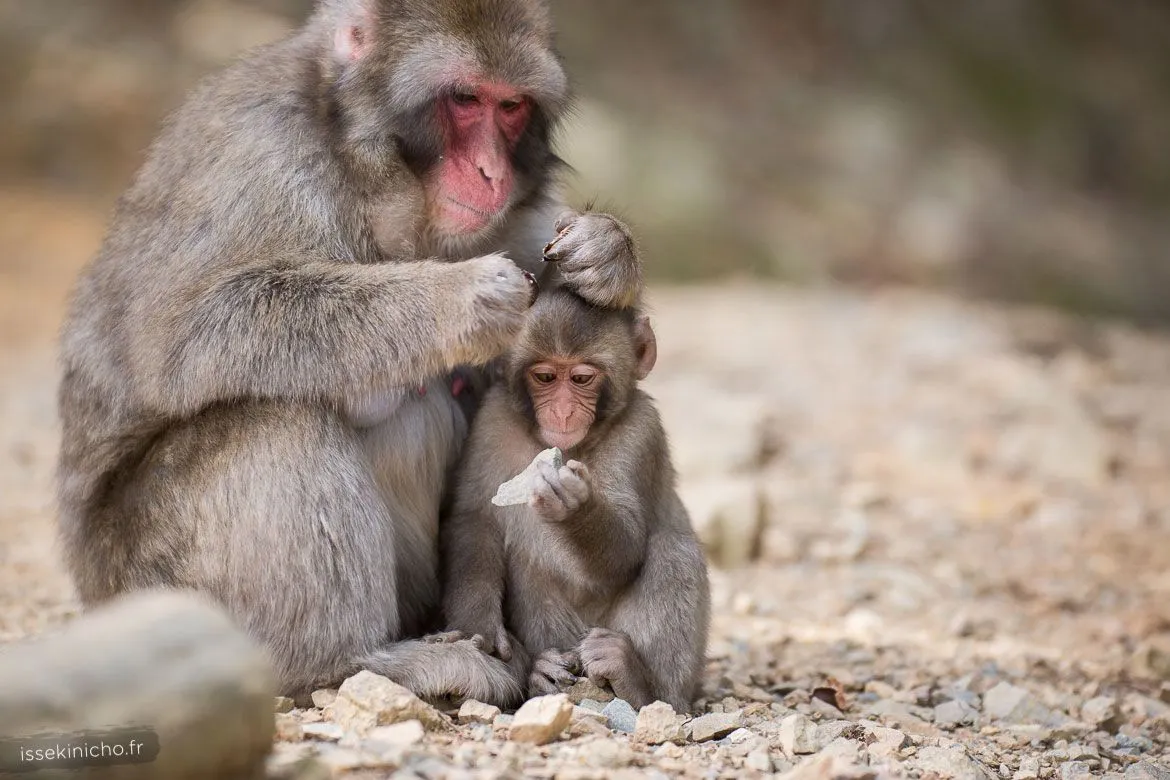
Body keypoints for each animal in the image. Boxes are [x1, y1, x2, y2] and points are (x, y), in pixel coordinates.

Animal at [56, 0, 644, 706]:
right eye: (464, 99)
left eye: (511, 107)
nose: (493, 174)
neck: (359, 164)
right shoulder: (262, 151)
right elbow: (184, 331)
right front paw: (458, 300)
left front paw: (607, 251)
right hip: (150, 582)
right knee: (278, 419)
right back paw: (350, 662)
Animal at [441, 289, 711, 712]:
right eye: (545, 377)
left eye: (582, 378)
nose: (563, 411)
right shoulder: (492, 420)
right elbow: (475, 519)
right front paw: (476, 628)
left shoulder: (641, 431)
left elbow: (627, 550)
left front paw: (575, 508)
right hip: (565, 638)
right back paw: (542, 673)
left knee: (673, 550)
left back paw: (639, 683)